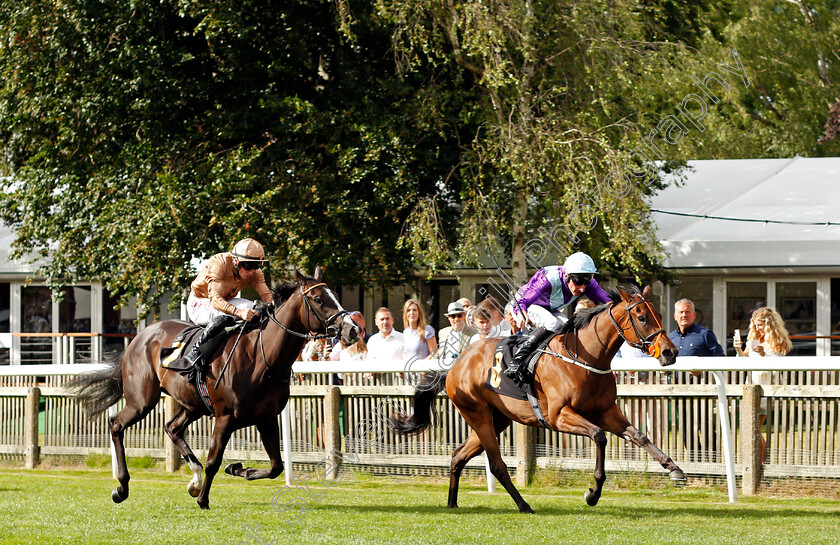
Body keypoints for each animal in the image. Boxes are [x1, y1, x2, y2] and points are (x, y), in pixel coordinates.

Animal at [72, 266, 358, 508]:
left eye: (335, 296)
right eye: (319, 299)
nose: (353, 329)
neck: (262, 359)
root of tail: (137, 337)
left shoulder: (266, 417)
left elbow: (276, 466)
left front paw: (236, 470)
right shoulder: (225, 416)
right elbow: (213, 461)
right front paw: (204, 499)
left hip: (192, 403)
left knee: (172, 428)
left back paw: (194, 480)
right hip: (142, 400)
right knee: (116, 424)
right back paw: (122, 487)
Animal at [390, 286, 684, 512]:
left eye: (659, 314)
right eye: (642, 317)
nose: (670, 352)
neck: (584, 356)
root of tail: (456, 363)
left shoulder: (606, 411)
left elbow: (639, 435)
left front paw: (673, 468)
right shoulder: (558, 416)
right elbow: (599, 436)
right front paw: (593, 493)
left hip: (497, 419)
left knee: (458, 455)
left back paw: (452, 503)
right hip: (478, 414)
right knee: (496, 465)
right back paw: (524, 505)